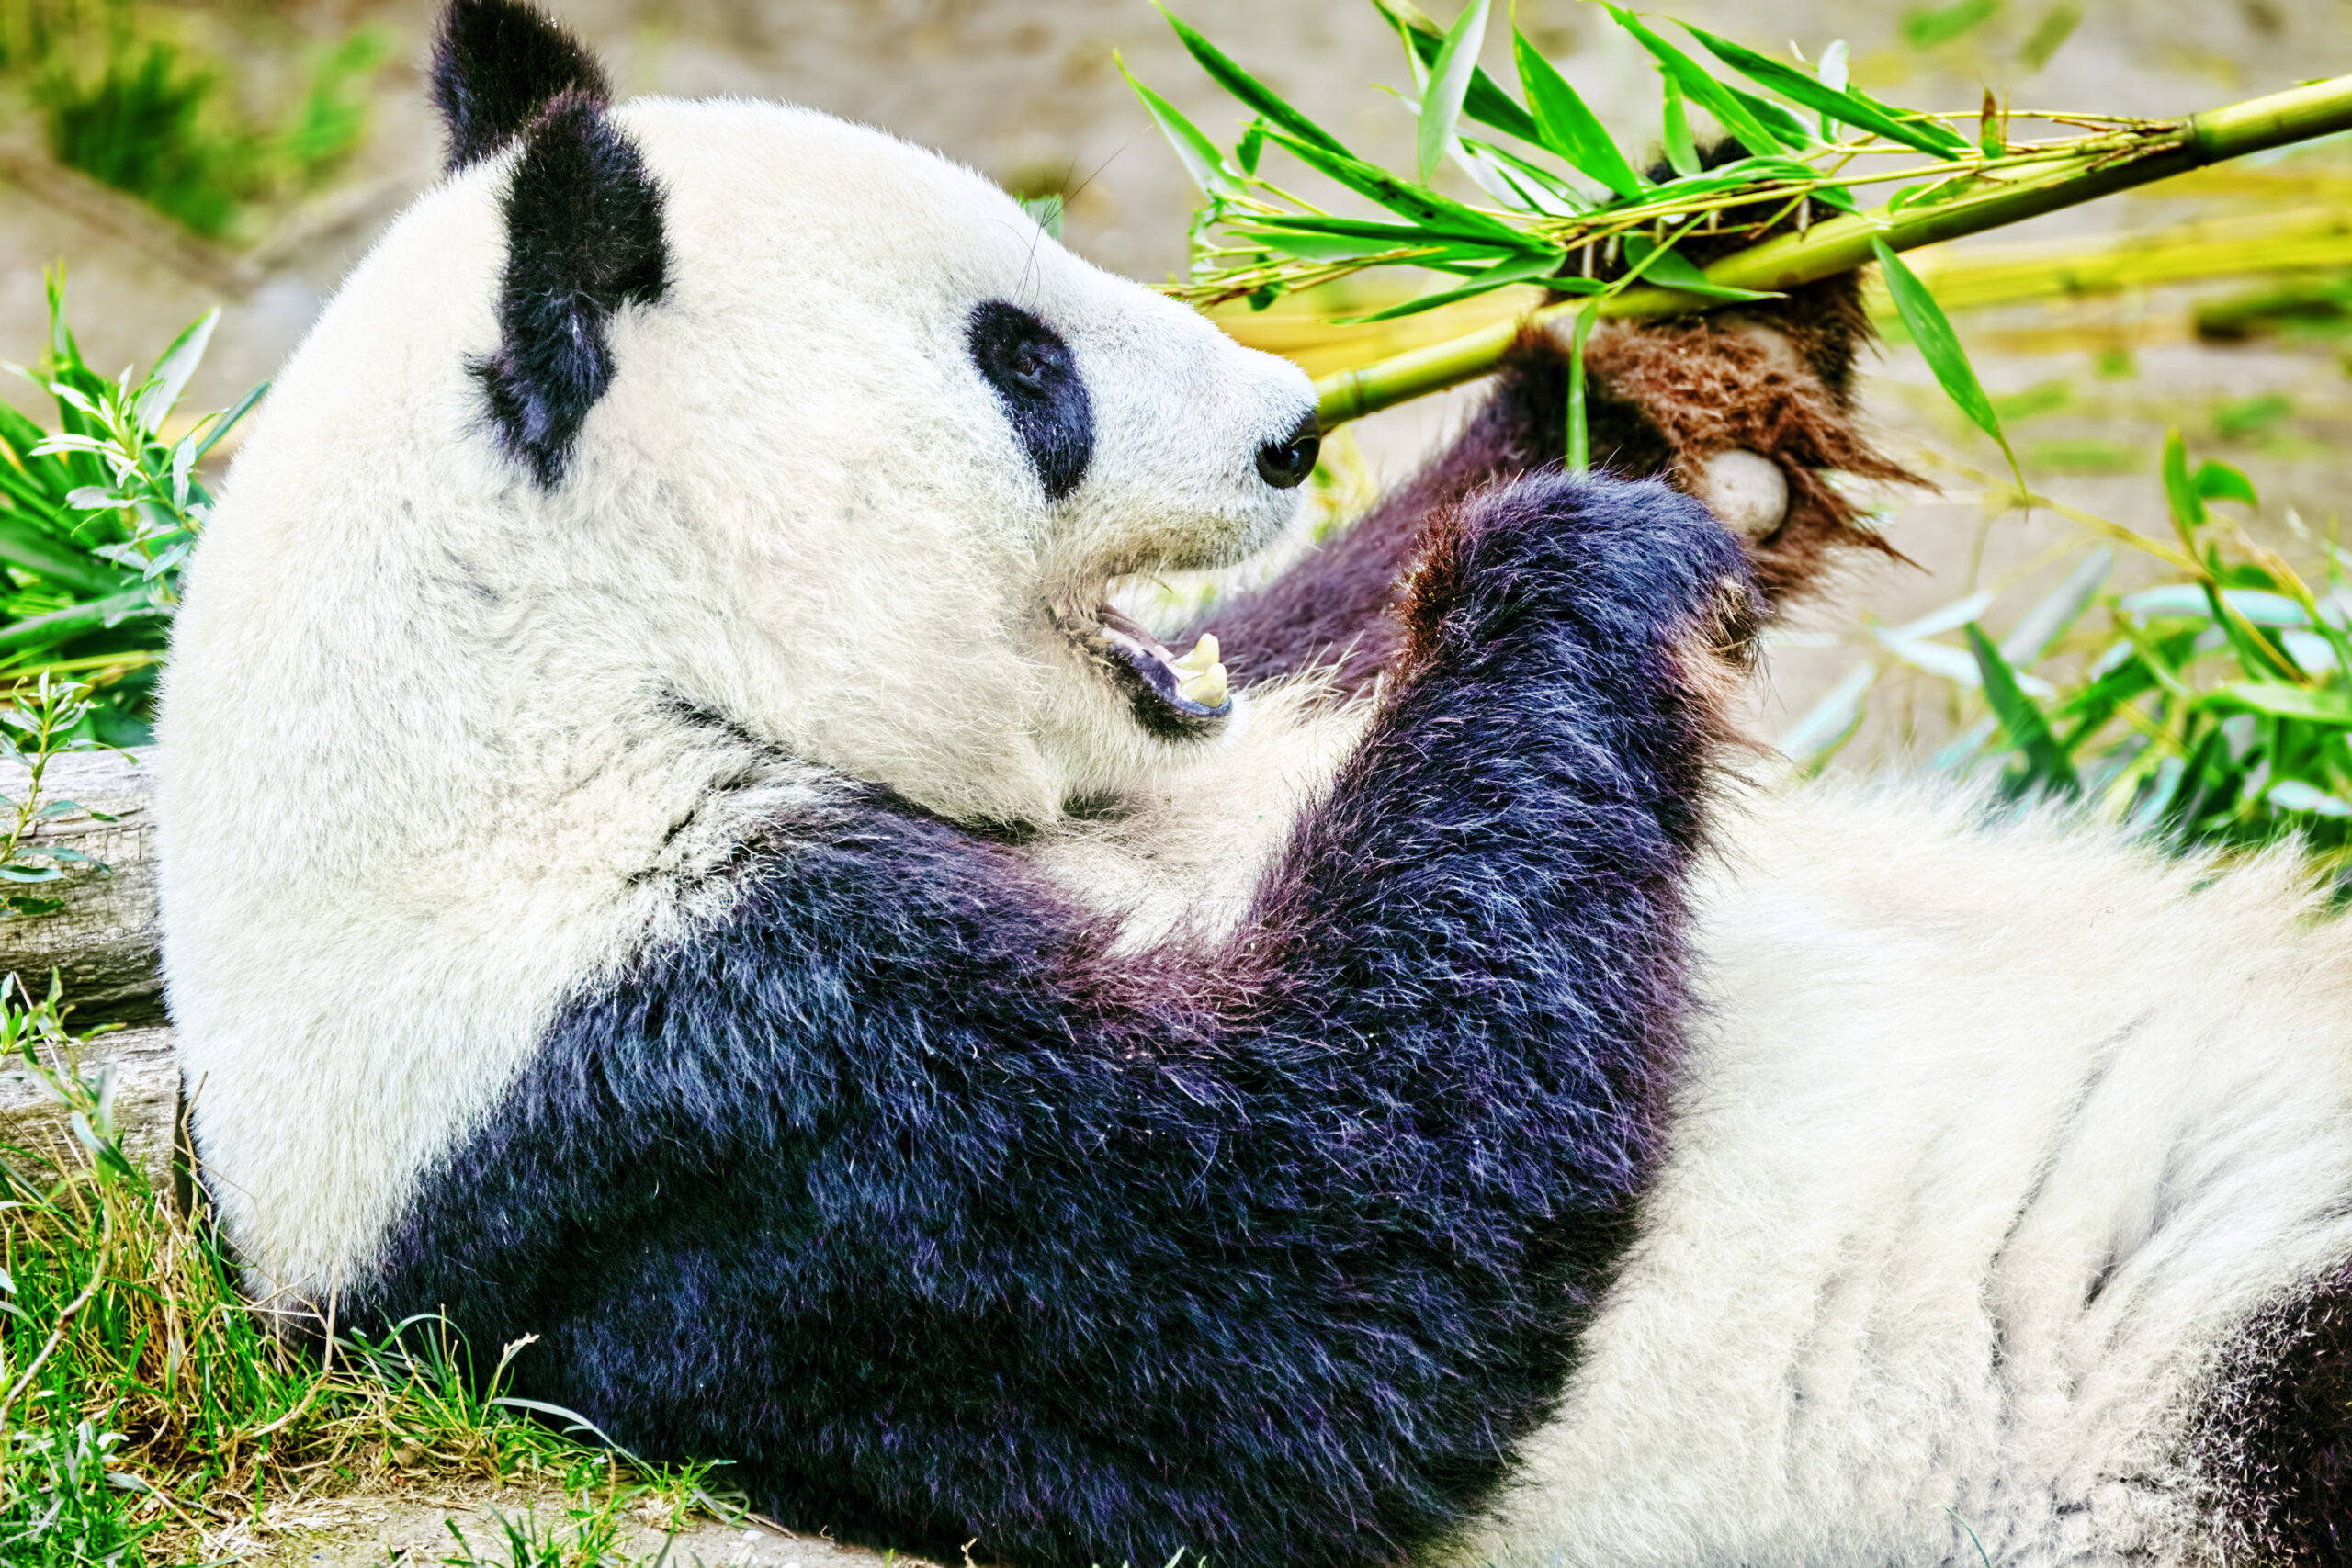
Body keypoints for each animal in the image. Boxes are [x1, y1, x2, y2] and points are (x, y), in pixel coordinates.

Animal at [161, 3, 2352, 1568]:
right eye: (1022, 359)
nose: (1296, 425)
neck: (573, 676)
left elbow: (1349, 637)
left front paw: (1690, 287)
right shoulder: (702, 1090)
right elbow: (1331, 1276)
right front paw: (1573, 558)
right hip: (2156, 1393)